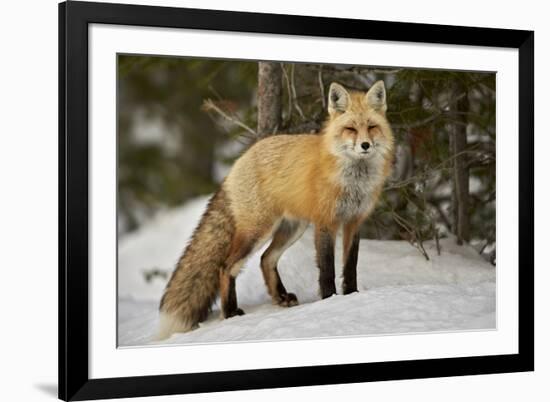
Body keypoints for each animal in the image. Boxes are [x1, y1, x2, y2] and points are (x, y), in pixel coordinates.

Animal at [157, 80, 394, 338]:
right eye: (350, 128)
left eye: (371, 127)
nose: (365, 145)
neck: (353, 181)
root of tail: (239, 161)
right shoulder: (326, 223)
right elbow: (327, 269)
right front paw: (329, 299)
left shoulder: (354, 221)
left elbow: (350, 266)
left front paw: (352, 296)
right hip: (257, 231)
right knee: (225, 267)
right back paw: (230, 312)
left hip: (292, 228)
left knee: (266, 259)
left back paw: (280, 297)